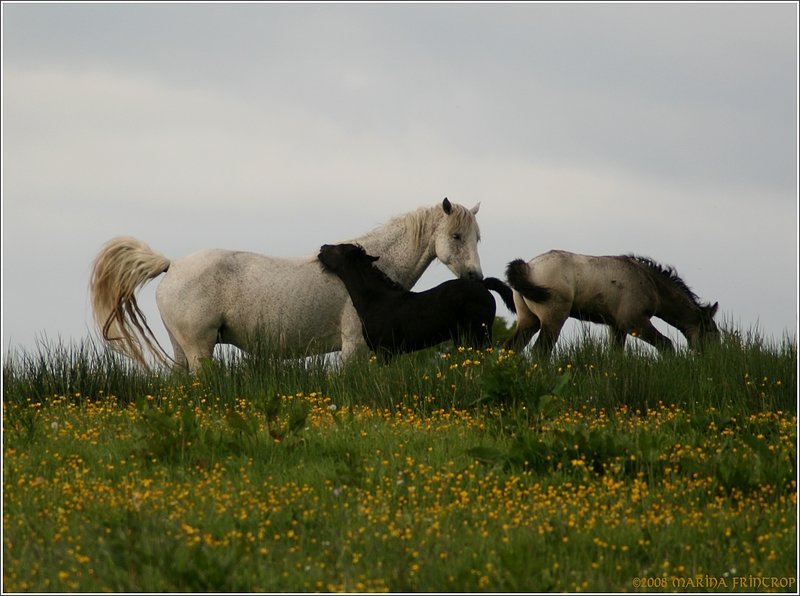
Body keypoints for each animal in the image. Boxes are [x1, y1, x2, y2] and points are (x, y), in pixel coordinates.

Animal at [90, 198, 484, 370]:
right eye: (456, 235)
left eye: (477, 237)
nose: (475, 279)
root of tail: (172, 266)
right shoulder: (354, 347)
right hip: (200, 349)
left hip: (181, 348)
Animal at [316, 243, 516, 358]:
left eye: (337, 248)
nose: (322, 247)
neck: (375, 300)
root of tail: (483, 286)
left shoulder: (385, 351)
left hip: (479, 333)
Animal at [506, 250, 720, 354]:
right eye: (711, 331)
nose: (714, 357)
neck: (650, 282)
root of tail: (528, 266)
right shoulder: (633, 322)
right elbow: (666, 344)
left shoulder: (617, 327)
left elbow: (615, 354)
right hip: (553, 319)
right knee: (540, 352)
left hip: (529, 320)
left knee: (511, 348)